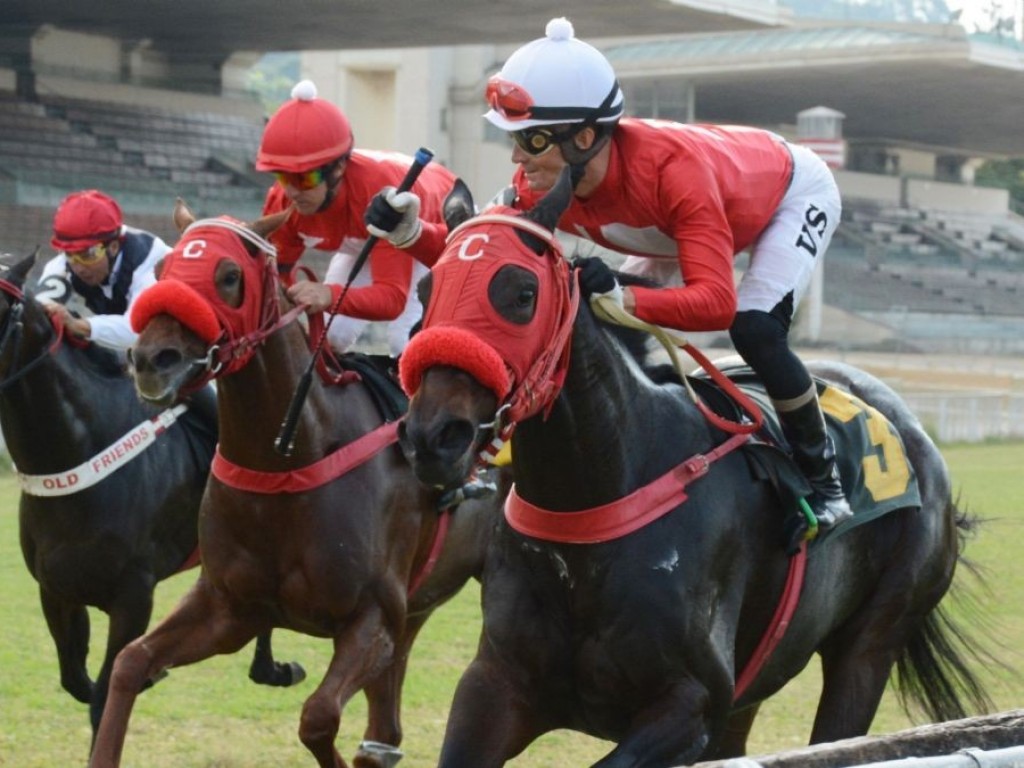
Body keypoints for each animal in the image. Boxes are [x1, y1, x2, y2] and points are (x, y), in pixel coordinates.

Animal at [90, 204, 505, 768]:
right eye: (161, 270)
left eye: (229, 276)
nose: (153, 360)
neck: (287, 455)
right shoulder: (228, 609)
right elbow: (131, 662)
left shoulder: (372, 617)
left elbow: (318, 716)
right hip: (417, 607)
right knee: (385, 729)